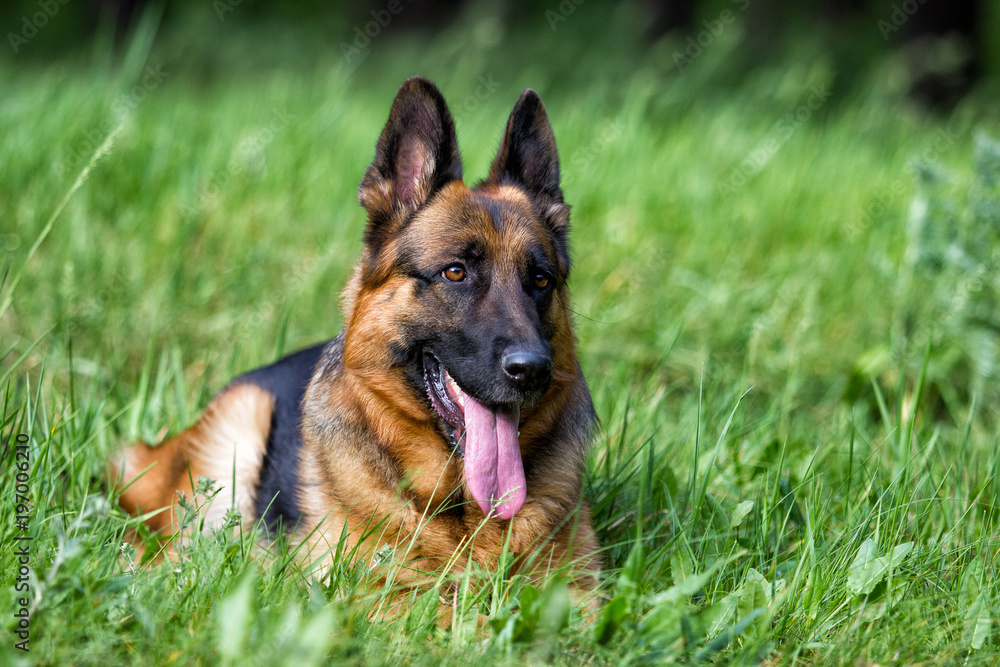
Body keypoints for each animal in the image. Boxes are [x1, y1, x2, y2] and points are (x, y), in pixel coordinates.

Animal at [114, 75, 604, 604]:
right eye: (455, 272)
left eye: (540, 280)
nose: (532, 369)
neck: (461, 511)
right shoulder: (377, 600)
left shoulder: (579, 596)